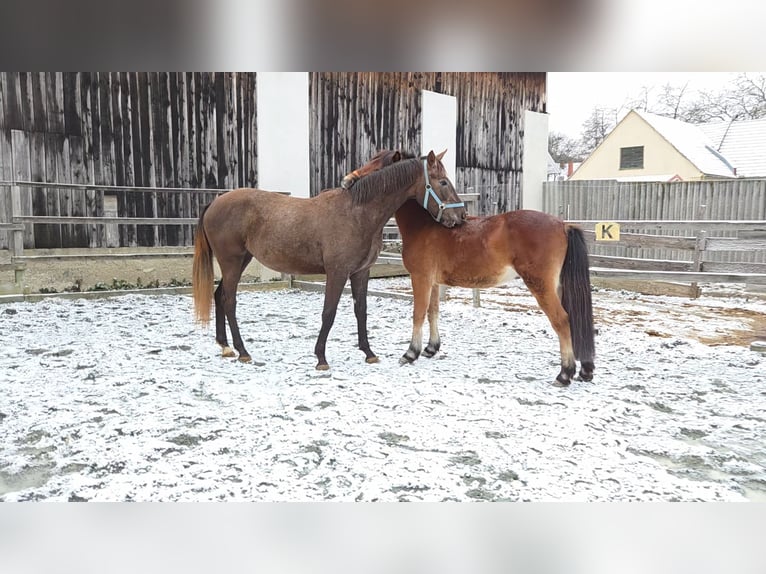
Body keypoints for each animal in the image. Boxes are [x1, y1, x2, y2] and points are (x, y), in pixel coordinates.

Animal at [192, 150, 467, 370]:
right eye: (443, 182)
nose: (461, 216)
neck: (357, 213)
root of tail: (215, 202)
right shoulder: (337, 272)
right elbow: (329, 312)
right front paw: (321, 358)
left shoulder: (360, 272)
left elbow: (361, 311)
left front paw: (369, 353)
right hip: (231, 262)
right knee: (229, 301)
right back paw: (243, 351)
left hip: (241, 261)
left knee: (219, 295)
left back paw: (226, 347)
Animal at [342, 150, 595, 386]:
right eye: (443, 181)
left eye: (376, 165)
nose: (346, 180)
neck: (424, 226)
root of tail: (563, 225)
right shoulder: (433, 282)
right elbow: (433, 312)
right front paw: (431, 348)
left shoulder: (420, 278)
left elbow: (418, 314)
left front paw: (411, 353)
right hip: (557, 286)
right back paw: (584, 370)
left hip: (541, 286)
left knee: (562, 320)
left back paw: (565, 374)